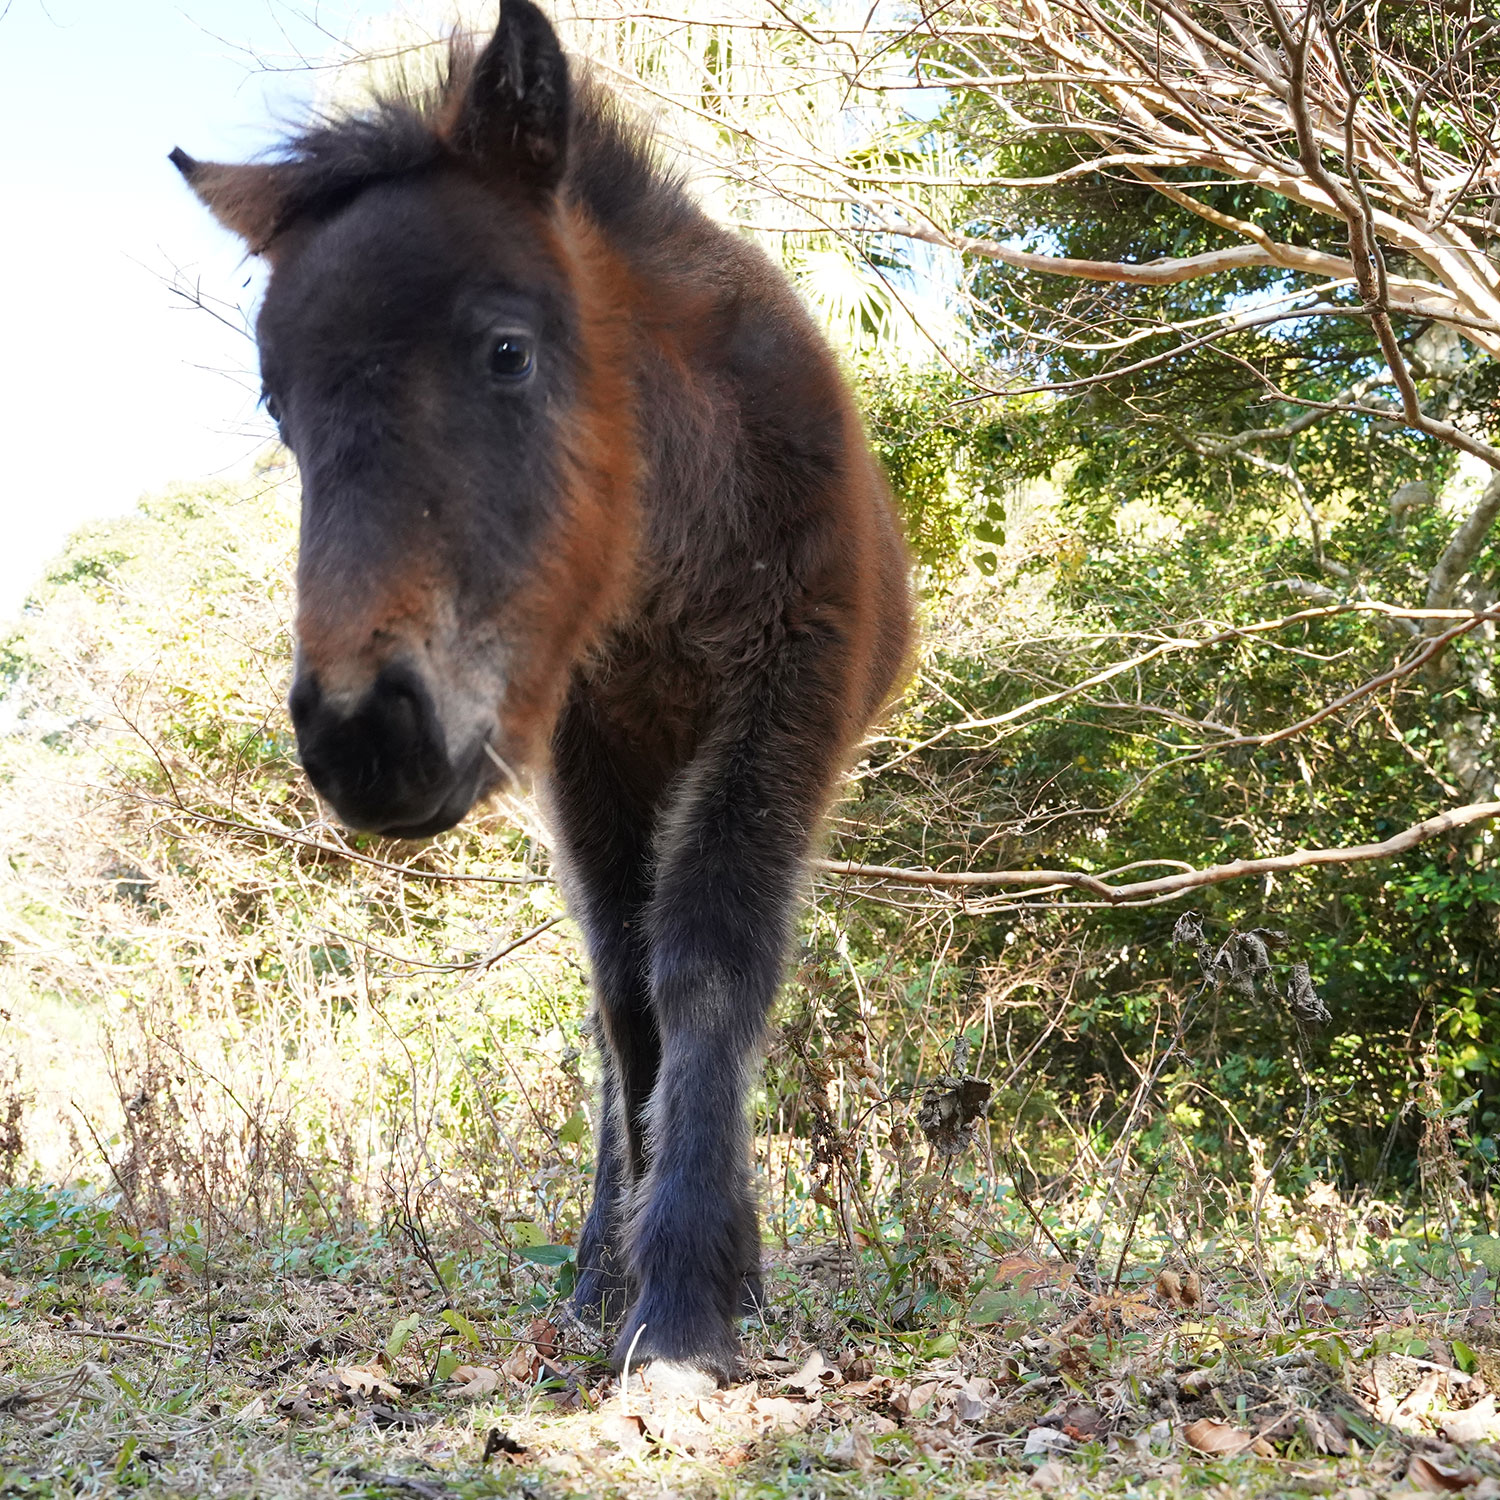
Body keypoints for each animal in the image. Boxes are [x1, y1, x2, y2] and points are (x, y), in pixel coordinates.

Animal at [170, 0, 906, 1386]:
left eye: (507, 352)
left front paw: (687, 1304)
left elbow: (709, 970)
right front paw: (635, 1274)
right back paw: (597, 1263)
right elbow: (627, 1005)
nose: (365, 735)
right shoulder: (587, 751)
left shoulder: (780, 712)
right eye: (280, 408)